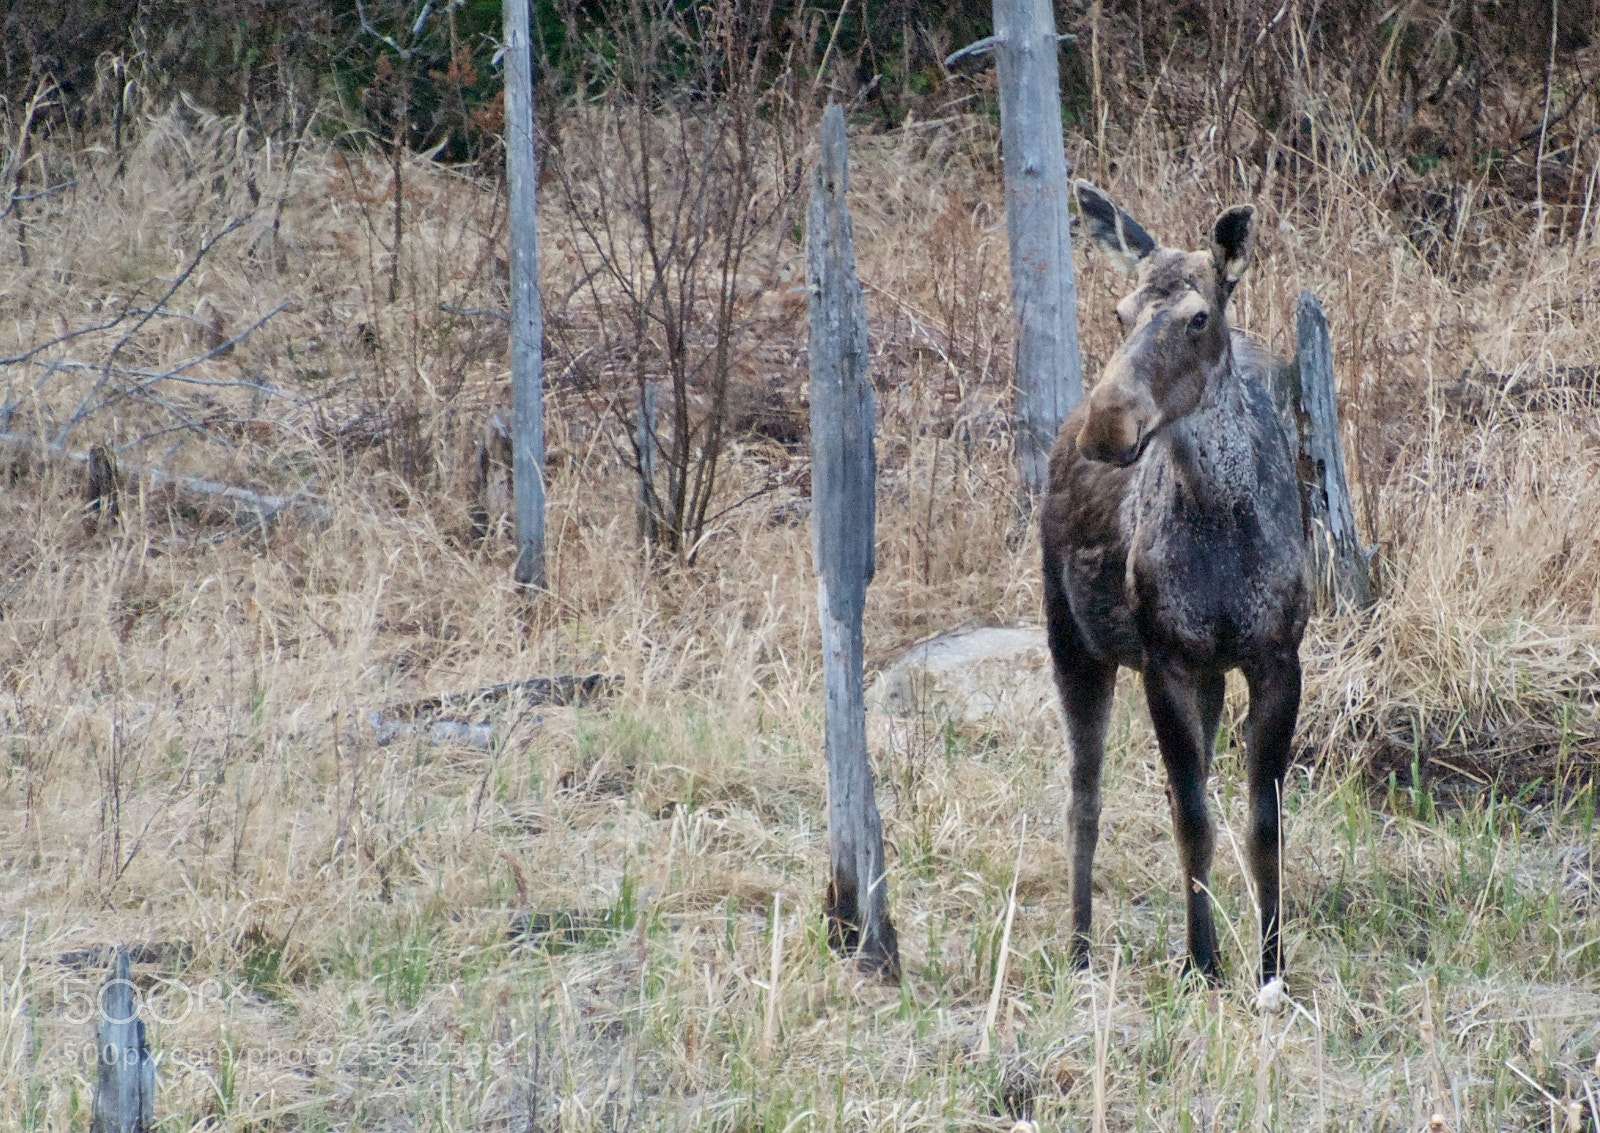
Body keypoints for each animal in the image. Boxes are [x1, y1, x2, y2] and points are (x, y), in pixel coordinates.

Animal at [1041, 182, 1308, 987]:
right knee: (1084, 797)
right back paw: (1080, 949)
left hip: (1211, 675)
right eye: (1120, 312)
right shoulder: (1165, 659)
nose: (1108, 422)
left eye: (1198, 317)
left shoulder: (1277, 656)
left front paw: (1271, 966)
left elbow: (1261, 823)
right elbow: (1194, 818)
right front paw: (1203, 963)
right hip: (1072, 641)